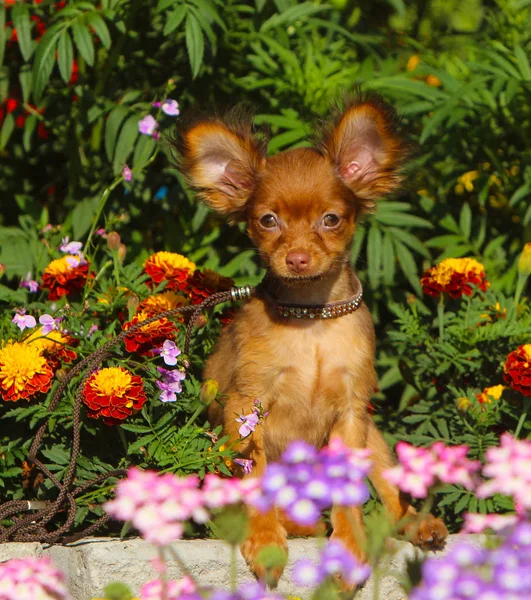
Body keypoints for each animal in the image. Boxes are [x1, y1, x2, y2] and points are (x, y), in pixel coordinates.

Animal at [180, 96, 448, 584]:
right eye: (268, 221)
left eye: (331, 219)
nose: (298, 258)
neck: (313, 320)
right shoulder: (246, 408)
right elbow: (256, 480)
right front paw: (266, 541)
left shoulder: (350, 411)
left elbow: (350, 495)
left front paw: (349, 546)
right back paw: (298, 524)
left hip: (373, 437)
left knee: (391, 498)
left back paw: (419, 524)